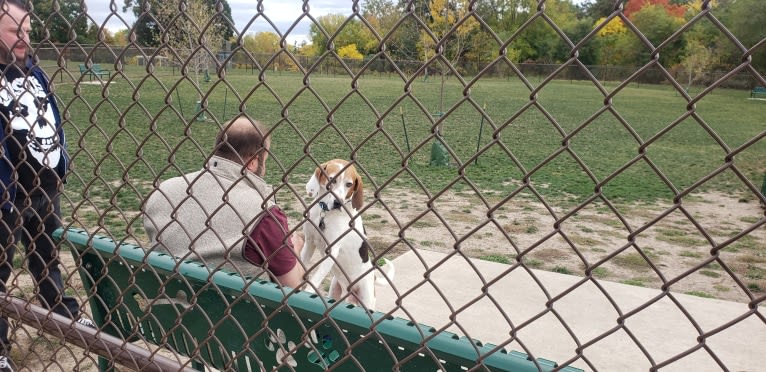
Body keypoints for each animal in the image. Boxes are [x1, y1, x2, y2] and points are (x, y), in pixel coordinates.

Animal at [302, 159, 396, 308]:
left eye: (349, 184)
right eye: (332, 180)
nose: (338, 202)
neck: (325, 214)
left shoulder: (332, 250)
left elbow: (317, 277)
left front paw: (307, 291)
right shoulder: (309, 241)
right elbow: (302, 264)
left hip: (367, 298)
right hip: (334, 289)